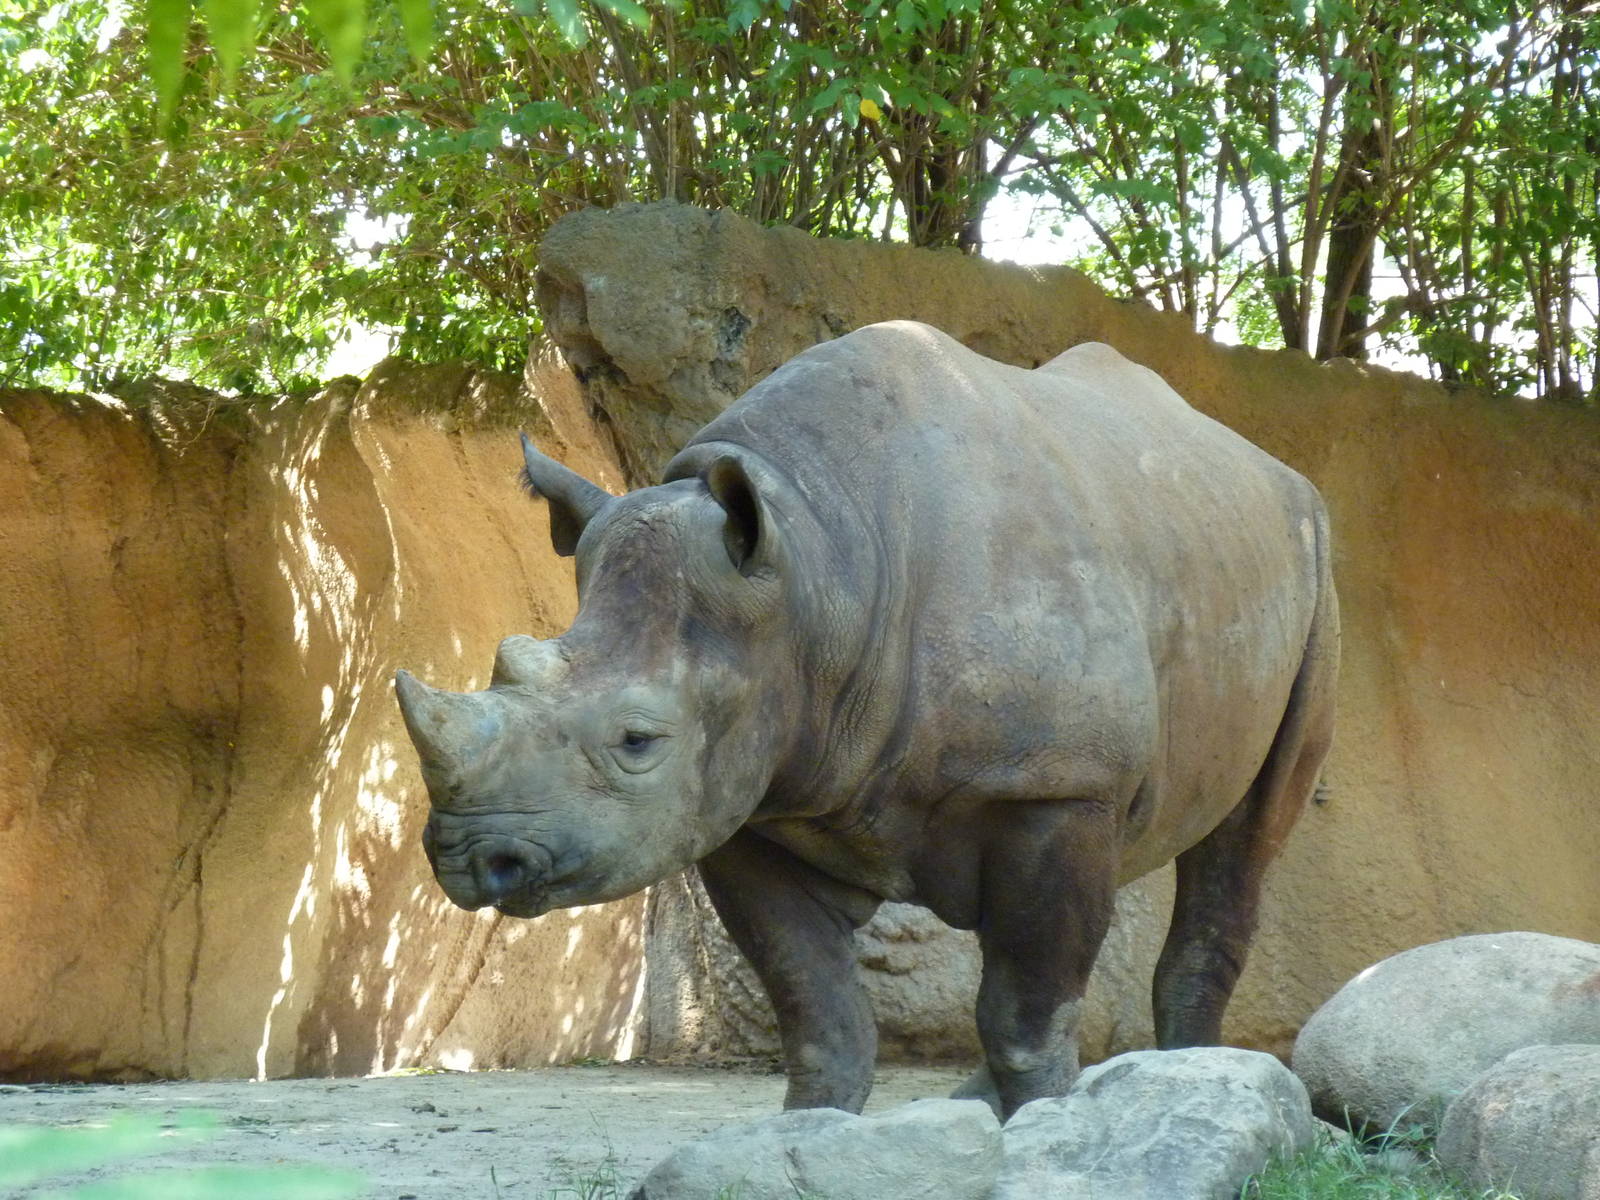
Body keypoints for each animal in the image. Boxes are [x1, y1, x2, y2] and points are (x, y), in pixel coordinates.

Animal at [395, 321, 1339, 1120]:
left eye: (637, 742)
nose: (472, 859)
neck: (819, 569)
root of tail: (1269, 466)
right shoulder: (752, 796)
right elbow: (817, 1007)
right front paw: (809, 1133)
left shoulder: (1053, 785)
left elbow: (1025, 1013)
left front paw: (1047, 1131)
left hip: (1313, 565)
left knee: (1243, 840)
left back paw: (1197, 1079)